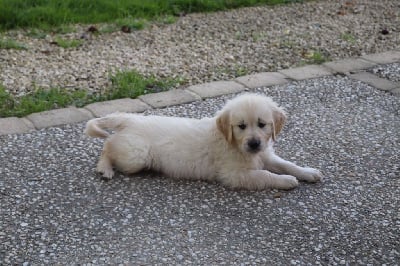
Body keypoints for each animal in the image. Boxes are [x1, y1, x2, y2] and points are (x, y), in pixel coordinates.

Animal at [84, 93, 322, 189]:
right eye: (241, 126)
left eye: (262, 124)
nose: (254, 144)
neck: (234, 144)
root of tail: (129, 119)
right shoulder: (234, 175)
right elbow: (264, 175)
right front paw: (286, 181)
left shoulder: (265, 154)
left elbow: (286, 164)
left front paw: (307, 172)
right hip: (136, 156)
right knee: (107, 146)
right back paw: (105, 168)